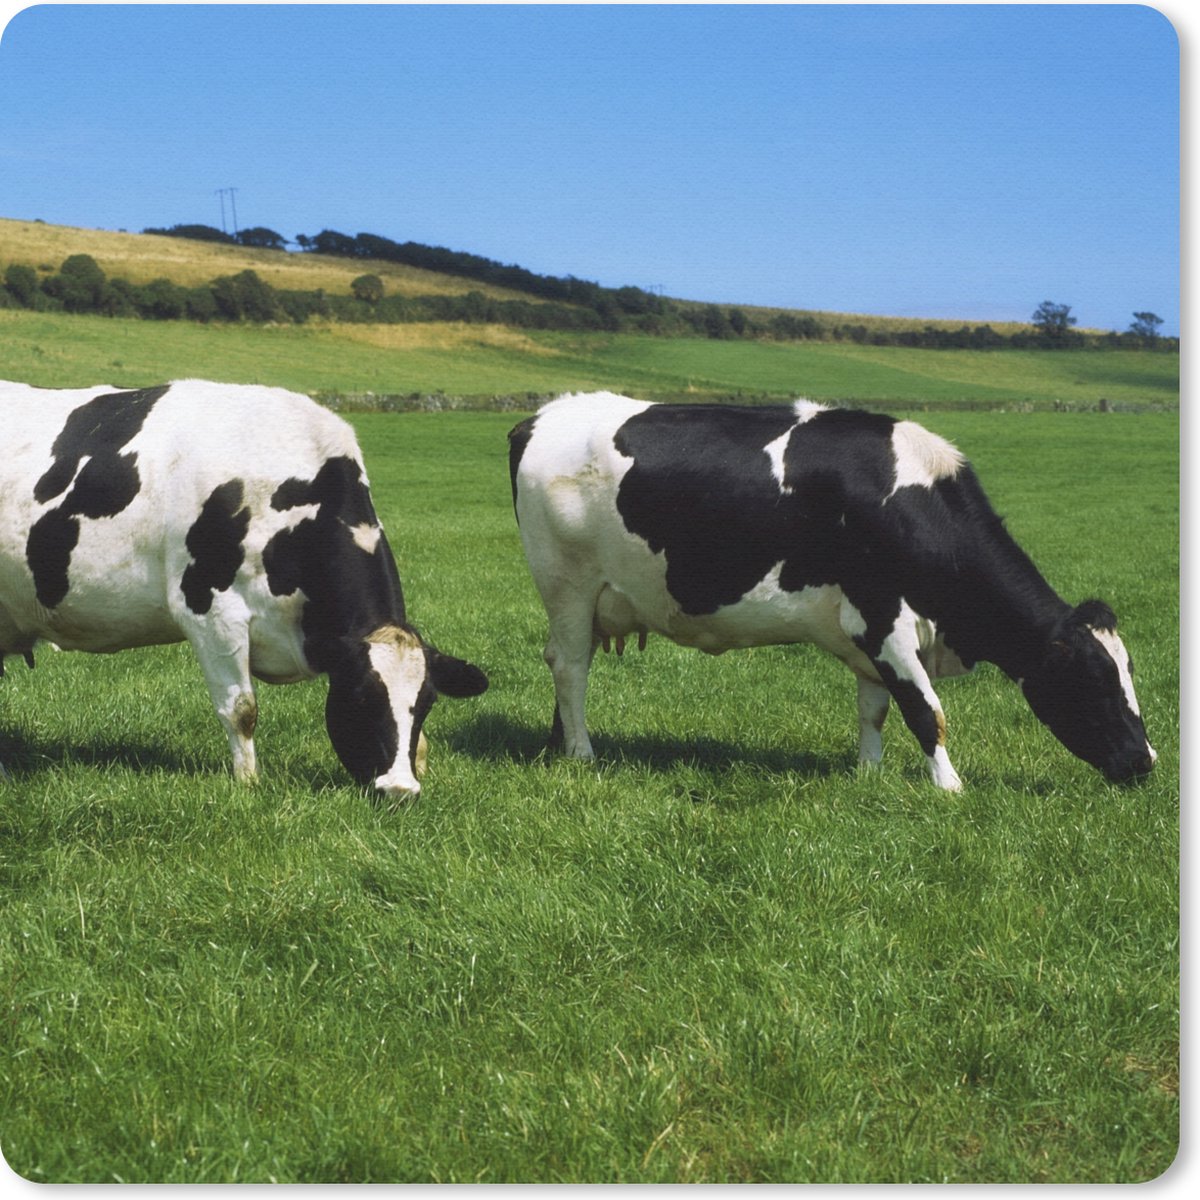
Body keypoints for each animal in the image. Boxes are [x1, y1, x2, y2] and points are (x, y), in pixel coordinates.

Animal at [0, 379, 487, 797]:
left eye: (427, 703)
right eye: (361, 697)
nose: (400, 792)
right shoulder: (211, 611)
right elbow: (242, 710)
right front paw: (248, 783)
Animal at [508, 392, 1156, 791]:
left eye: (1128, 672)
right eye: (1093, 680)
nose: (1145, 762)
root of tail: (540, 417)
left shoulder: (869, 637)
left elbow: (876, 709)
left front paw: (869, 774)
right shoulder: (883, 620)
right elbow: (926, 711)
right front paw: (949, 786)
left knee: (567, 669)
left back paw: (560, 745)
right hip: (567, 584)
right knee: (570, 667)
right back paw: (583, 753)